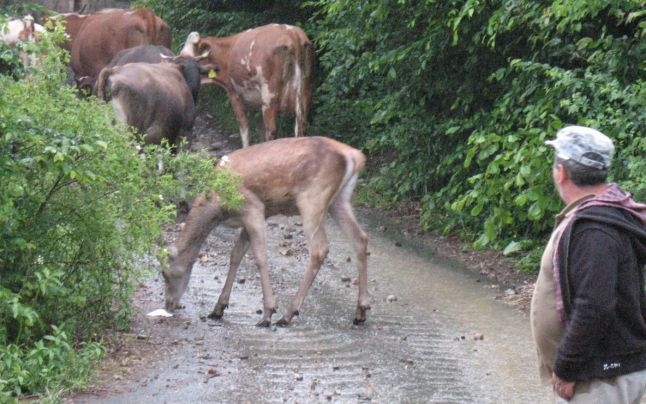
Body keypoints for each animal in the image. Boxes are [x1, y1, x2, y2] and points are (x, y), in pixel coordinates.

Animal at [163, 136, 370, 326]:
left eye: (165, 273)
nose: (169, 305)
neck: (217, 205)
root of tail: (354, 156)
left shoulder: (253, 207)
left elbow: (260, 257)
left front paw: (268, 311)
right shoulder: (248, 219)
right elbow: (235, 255)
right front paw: (218, 308)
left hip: (312, 197)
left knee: (319, 249)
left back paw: (288, 314)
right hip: (340, 199)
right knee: (360, 238)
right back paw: (361, 310)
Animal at [180, 23, 316, 148]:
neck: (226, 52)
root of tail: (292, 33)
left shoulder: (234, 95)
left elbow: (244, 129)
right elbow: (259, 129)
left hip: (269, 97)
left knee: (271, 130)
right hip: (305, 92)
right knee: (302, 126)